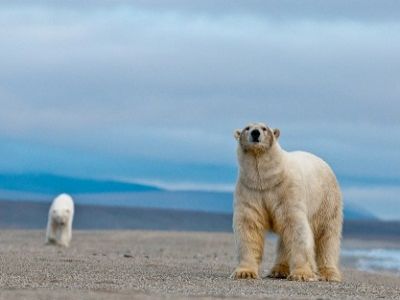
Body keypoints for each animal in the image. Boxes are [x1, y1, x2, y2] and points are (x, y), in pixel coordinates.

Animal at [233, 122, 342, 282]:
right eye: (247, 128)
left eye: (264, 128)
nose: (255, 133)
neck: (267, 180)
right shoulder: (250, 190)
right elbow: (249, 226)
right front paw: (245, 272)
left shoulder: (287, 190)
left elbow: (296, 227)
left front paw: (301, 274)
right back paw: (279, 270)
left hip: (327, 199)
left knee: (327, 234)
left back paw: (329, 273)